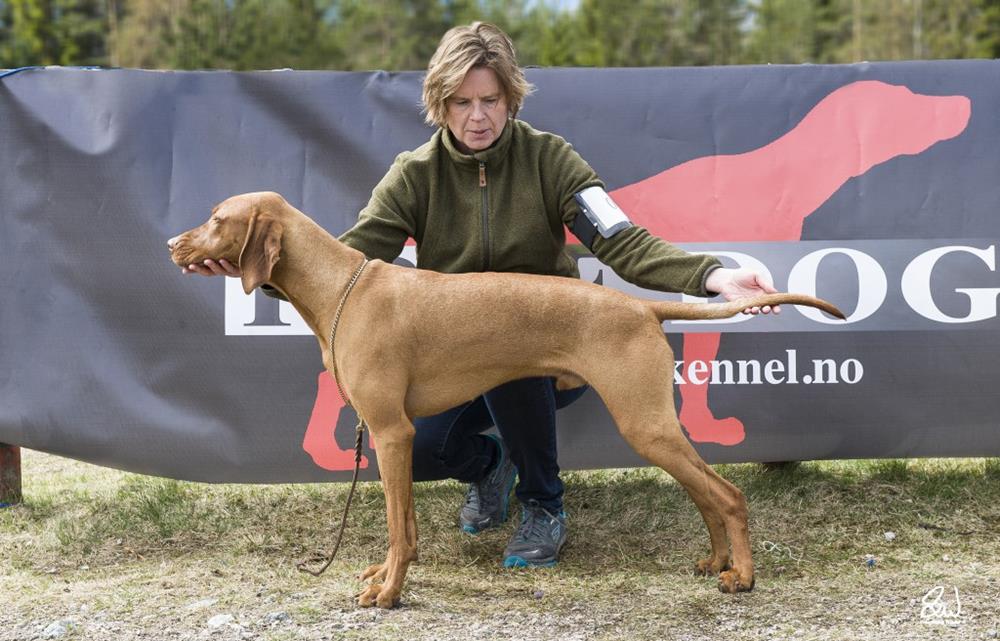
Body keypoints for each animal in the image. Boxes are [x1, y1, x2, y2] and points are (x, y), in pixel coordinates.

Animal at [168, 190, 840, 604]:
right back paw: (715, 562)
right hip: (653, 426)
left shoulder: (389, 432)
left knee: (727, 493)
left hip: (644, 423)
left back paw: (742, 575)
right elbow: (405, 523)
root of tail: (639, 306)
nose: (173, 244)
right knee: (706, 493)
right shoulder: (394, 437)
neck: (341, 289)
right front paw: (386, 577)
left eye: (217, 217)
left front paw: (388, 592)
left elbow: (396, 526)